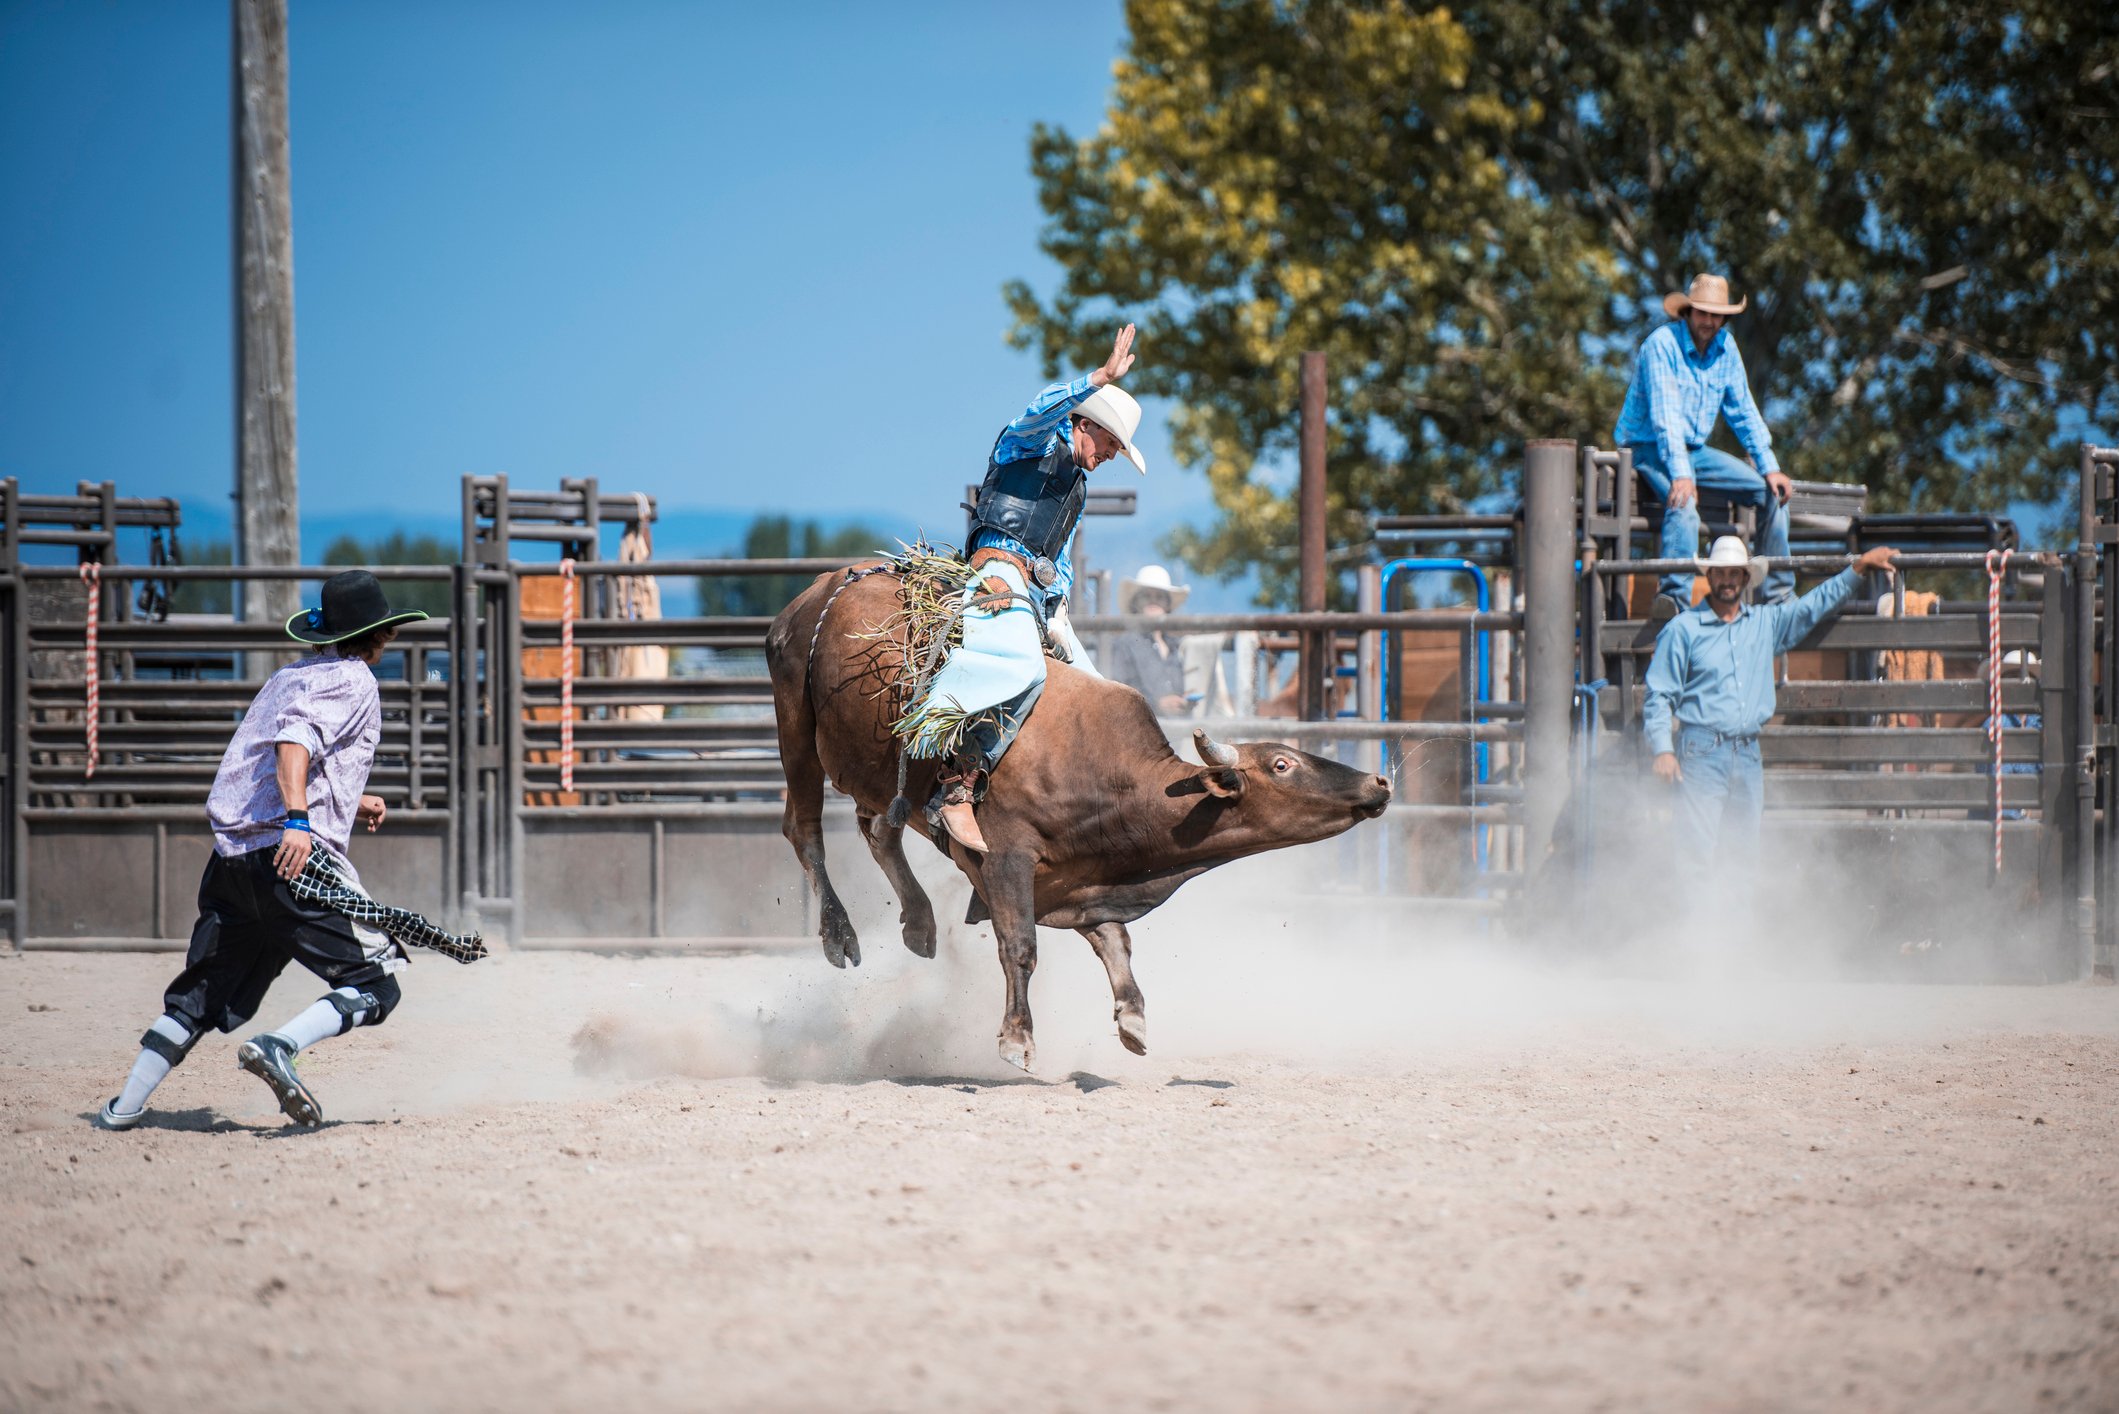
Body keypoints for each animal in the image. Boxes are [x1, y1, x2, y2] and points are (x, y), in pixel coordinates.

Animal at [765, 563, 1392, 1071]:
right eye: (1282, 764)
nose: (1378, 783)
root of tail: (816, 591)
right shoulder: (1006, 860)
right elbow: (1019, 946)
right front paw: (1017, 1040)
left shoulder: (1077, 878)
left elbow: (1116, 941)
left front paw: (1133, 1019)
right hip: (795, 722)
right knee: (805, 831)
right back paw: (839, 934)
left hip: (868, 769)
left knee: (879, 830)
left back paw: (919, 922)